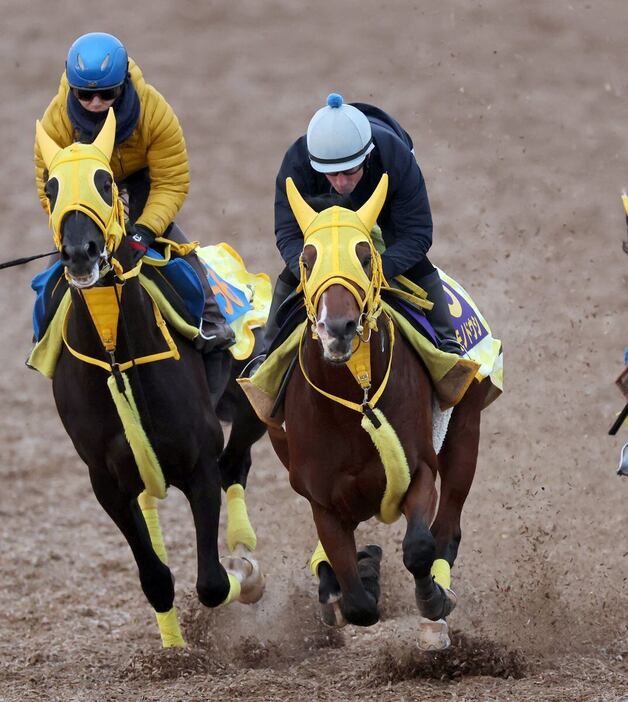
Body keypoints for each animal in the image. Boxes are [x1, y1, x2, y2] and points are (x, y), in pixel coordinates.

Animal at [36, 108, 262, 648]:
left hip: (254, 402)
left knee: (236, 463)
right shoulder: (106, 481)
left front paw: (244, 574)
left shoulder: (197, 462)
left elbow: (213, 582)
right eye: (52, 187)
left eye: (104, 181)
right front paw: (173, 651)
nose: (80, 252)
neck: (117, 354)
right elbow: (156, 578)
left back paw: (245, 549)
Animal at [264, 177, 490, 656]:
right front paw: (357, 573)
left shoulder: (418, 469)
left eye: (365, 255)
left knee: (448, 528)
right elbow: (357, 604)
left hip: (466, 428)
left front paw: (433, 600)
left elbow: (420, 547)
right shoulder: (321, 498)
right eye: (307, 258)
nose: (338, 328)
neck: (357, 400)